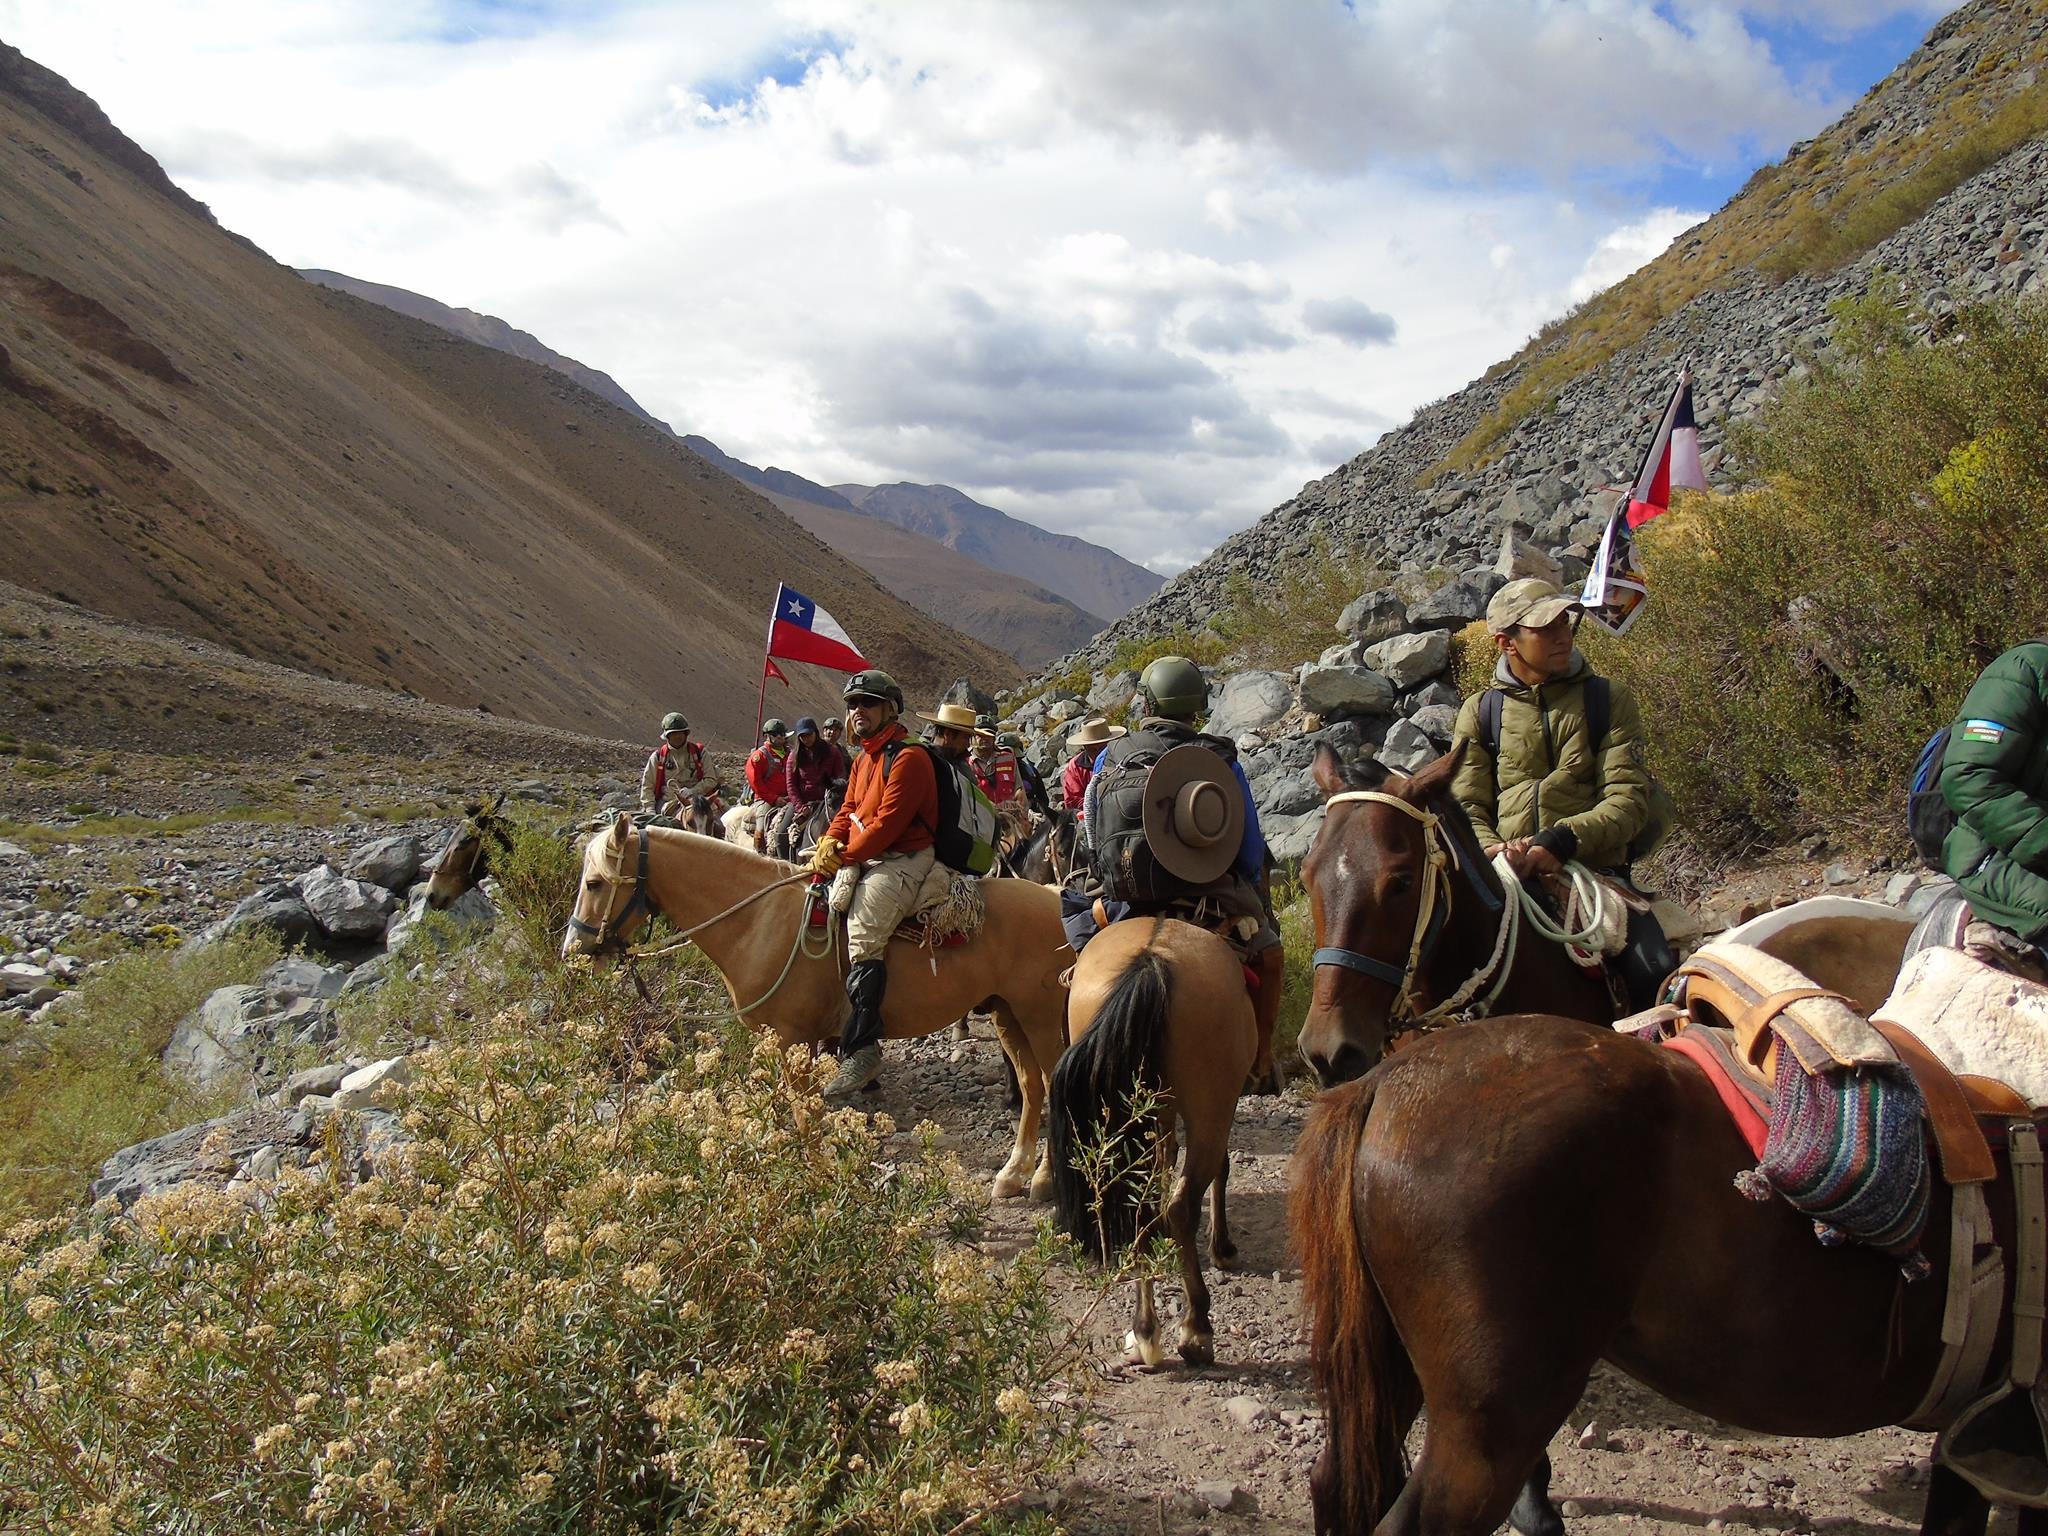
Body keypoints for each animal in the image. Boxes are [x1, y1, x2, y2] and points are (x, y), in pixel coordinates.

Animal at [561, 819, 1073, 1204]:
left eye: (594, 882)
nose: (574, 951)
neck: (758, 921)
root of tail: (1053, 897)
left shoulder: (795, 1040)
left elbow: (805, 1116)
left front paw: (819, 1180)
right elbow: (788, 1114)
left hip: (1040, 1015)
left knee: (1051, 1083)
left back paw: (1044, 1180)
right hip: (1008, 1014)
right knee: (1030, 1087)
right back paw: (1011, 1174)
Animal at [1048, 913, 1253, 1368]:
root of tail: (1152, 958)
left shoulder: (1158, 1114)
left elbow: (1162, 1164)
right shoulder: (1219, 1107)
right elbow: (1221, 1166)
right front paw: (1223, 1247)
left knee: (1139, 1206)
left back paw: (1145, 1330)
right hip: (1209, 1109)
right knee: (1183, 1203)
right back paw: (1196, 1330)